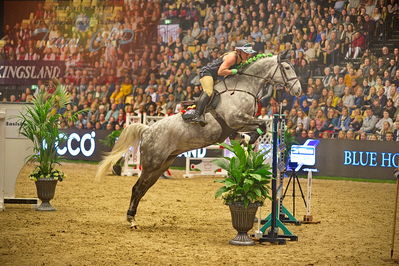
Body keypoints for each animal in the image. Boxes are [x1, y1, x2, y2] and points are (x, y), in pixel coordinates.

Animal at [97, 52, 302, 229]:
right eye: (287, 67)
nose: (299, 90)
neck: (245, 87)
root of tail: (147, 130)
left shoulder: (237, 125)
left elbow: (257, 128)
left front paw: (246, 141)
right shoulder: (236, 119)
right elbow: (262, 125)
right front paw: (249, 139)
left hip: (162, 165)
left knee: (144, 188)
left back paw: (133, 217)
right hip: (151, 164)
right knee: (137, 188)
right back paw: (131, 220)